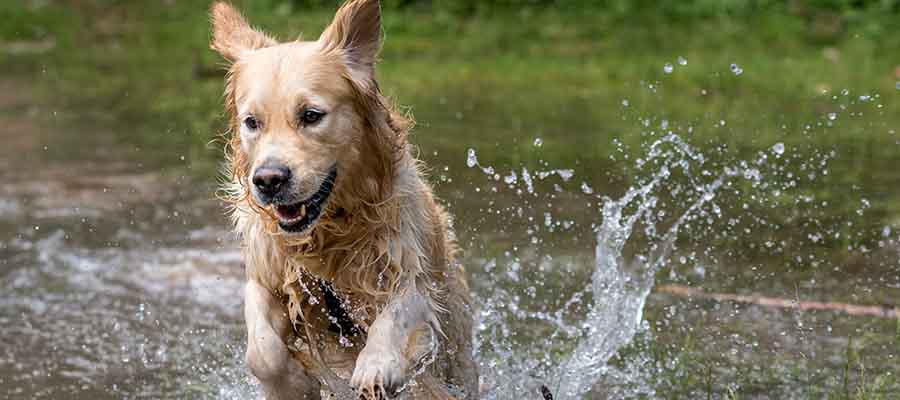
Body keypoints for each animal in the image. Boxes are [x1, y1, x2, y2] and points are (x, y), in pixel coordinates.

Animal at [209, 0, 478, 400]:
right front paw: (293, 383)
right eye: (252, 122)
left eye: (311, 116)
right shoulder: (266, 276)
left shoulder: (410, 274)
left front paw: (377, 366)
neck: (326, 236)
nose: (269, 180)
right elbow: (262, 350)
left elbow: (395, 314)